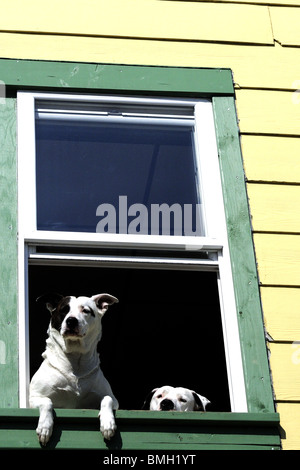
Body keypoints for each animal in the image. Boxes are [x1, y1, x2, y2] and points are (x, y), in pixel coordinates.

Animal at [29, 292, 119, 446]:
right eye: (64, 310)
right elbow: (47, 401)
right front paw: (45, 427)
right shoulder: (34, 398)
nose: (71, 321)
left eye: (86, 311)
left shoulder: (115, 401)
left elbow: (106, 398)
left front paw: (107, 423)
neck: (74, 358)